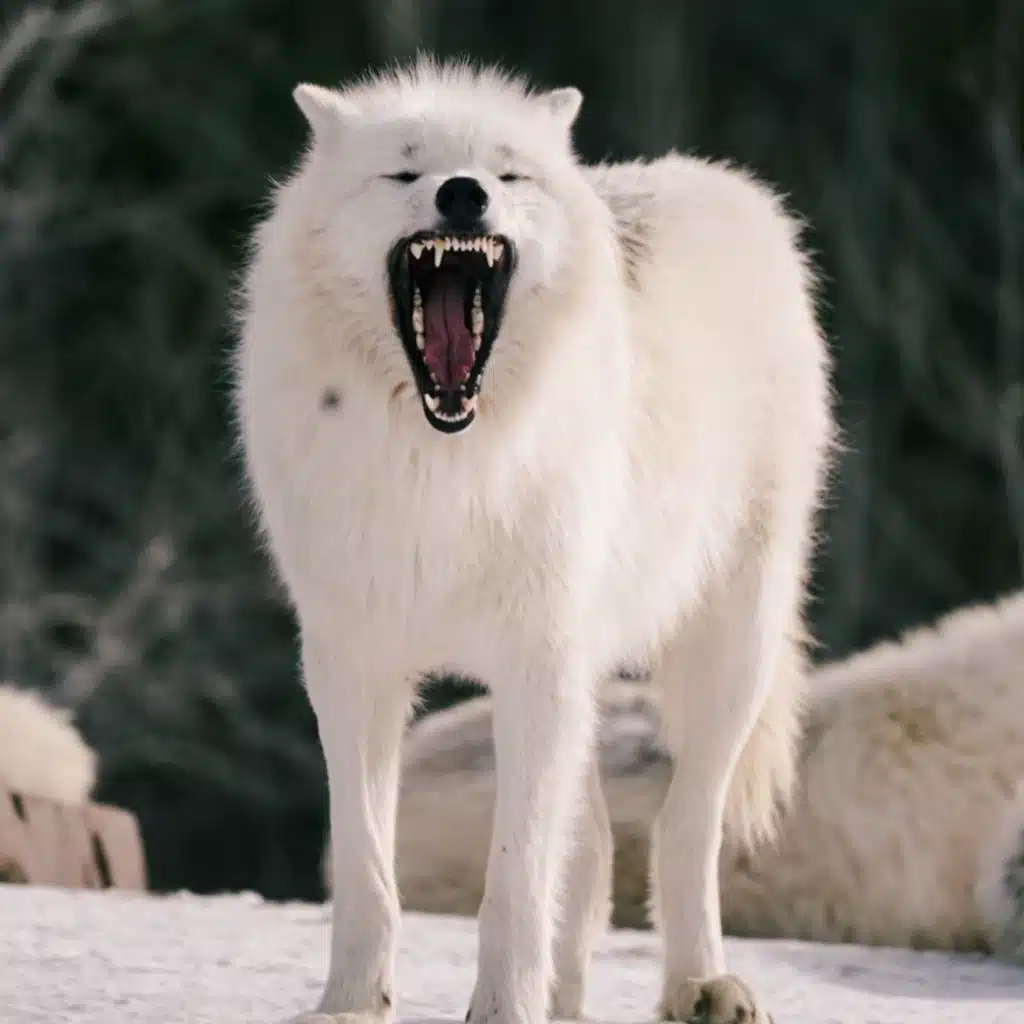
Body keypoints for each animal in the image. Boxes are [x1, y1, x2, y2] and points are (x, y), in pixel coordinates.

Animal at [235, 56, 834, 1024]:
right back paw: (572, 999)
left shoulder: (534, 663)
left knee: (684, 827)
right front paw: (352, 1004)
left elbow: (514, 880)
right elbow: (367, 867)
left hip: (727, 650)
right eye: (405, 171)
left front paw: (504, 1007)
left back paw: (701, 984)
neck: (443, 467)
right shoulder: (352, 665)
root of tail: (723, 184)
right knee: (589, 856)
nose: (463, 194)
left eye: (508, 174)